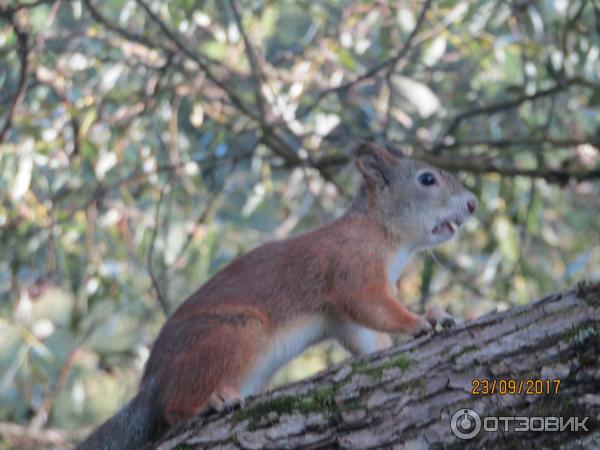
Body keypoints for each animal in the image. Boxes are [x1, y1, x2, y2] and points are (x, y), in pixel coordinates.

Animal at [76, 142, 478, 448]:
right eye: (427, 179)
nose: (473, 203)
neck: (379, 230)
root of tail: (152, 381)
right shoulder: (352, 271)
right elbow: (376, 307)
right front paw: (424, 319)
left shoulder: (342, 320)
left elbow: (367, 340)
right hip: (236, 333)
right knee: (173, 407)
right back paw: (209, 404)